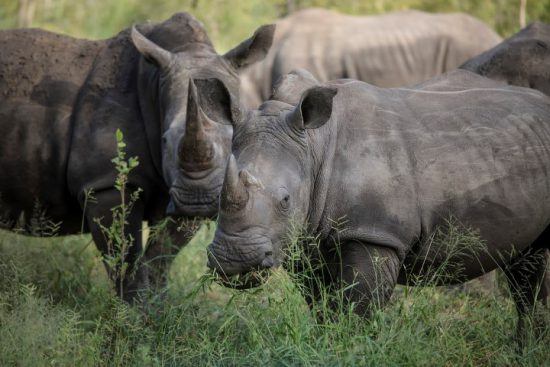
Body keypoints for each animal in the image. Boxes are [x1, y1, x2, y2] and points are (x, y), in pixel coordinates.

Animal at [0, 13, 276, 302]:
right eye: (164, 140)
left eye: (235, 140)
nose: (198, 201)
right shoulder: (105, 184)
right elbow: (124, 257)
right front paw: (134, 310)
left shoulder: (188, 191)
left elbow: (161, 255)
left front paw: (158, 305)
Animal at [208, 69, 550, 340]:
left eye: (285, 200)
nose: (233, 260)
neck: (315, 146)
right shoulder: (302, 238)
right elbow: (321, 305)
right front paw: (328, 343)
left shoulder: (375, 233)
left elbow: (358, 309)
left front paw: (351, 348)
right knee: (527, 267)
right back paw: (525, 348)